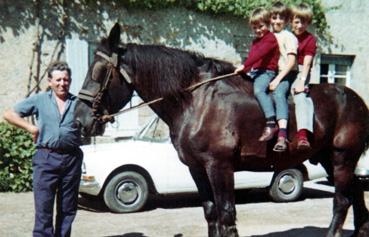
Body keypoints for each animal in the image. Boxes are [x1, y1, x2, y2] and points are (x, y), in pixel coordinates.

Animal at [74, 23, 368, 236]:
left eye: (99, 72)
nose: (79, 121)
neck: (196, 101)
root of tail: (356, 100)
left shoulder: (220, 167)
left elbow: (226, 213)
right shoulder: (197, 169)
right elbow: (211, 212)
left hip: (342, 158)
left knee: (342, 201)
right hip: (331, 160)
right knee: (355, 195)